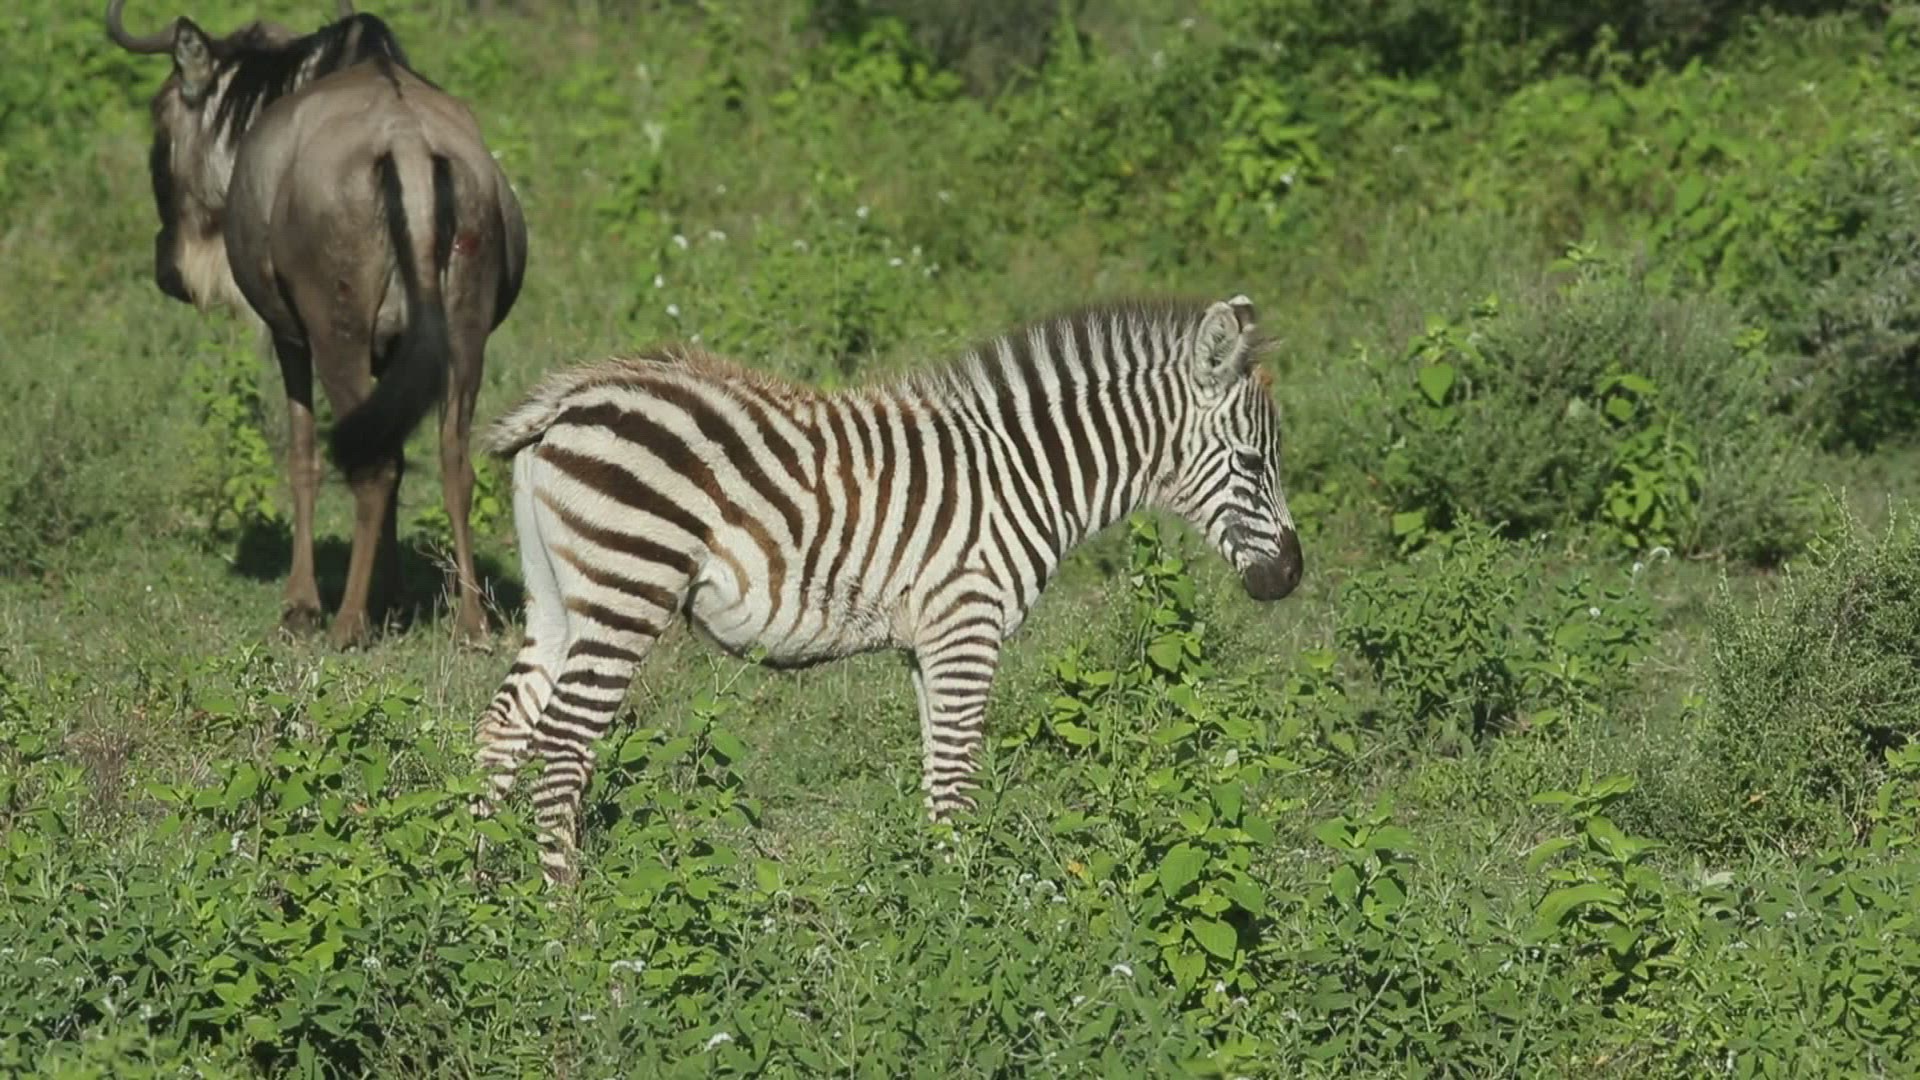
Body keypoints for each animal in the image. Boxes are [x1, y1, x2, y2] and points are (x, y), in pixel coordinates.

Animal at [472, 295, 1305, 884]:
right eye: (1251, 462)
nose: (1290, 576)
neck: (1024, 474)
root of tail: (569, 398)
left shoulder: (926, 643)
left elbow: (937, 776)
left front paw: (932, 900)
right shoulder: (967, 624)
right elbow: (958, 778)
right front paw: (966, 921)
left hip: (558, 599)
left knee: (502, 730)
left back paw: (481, 899)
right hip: (628, 585)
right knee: (563, 748)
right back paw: (570, 924)